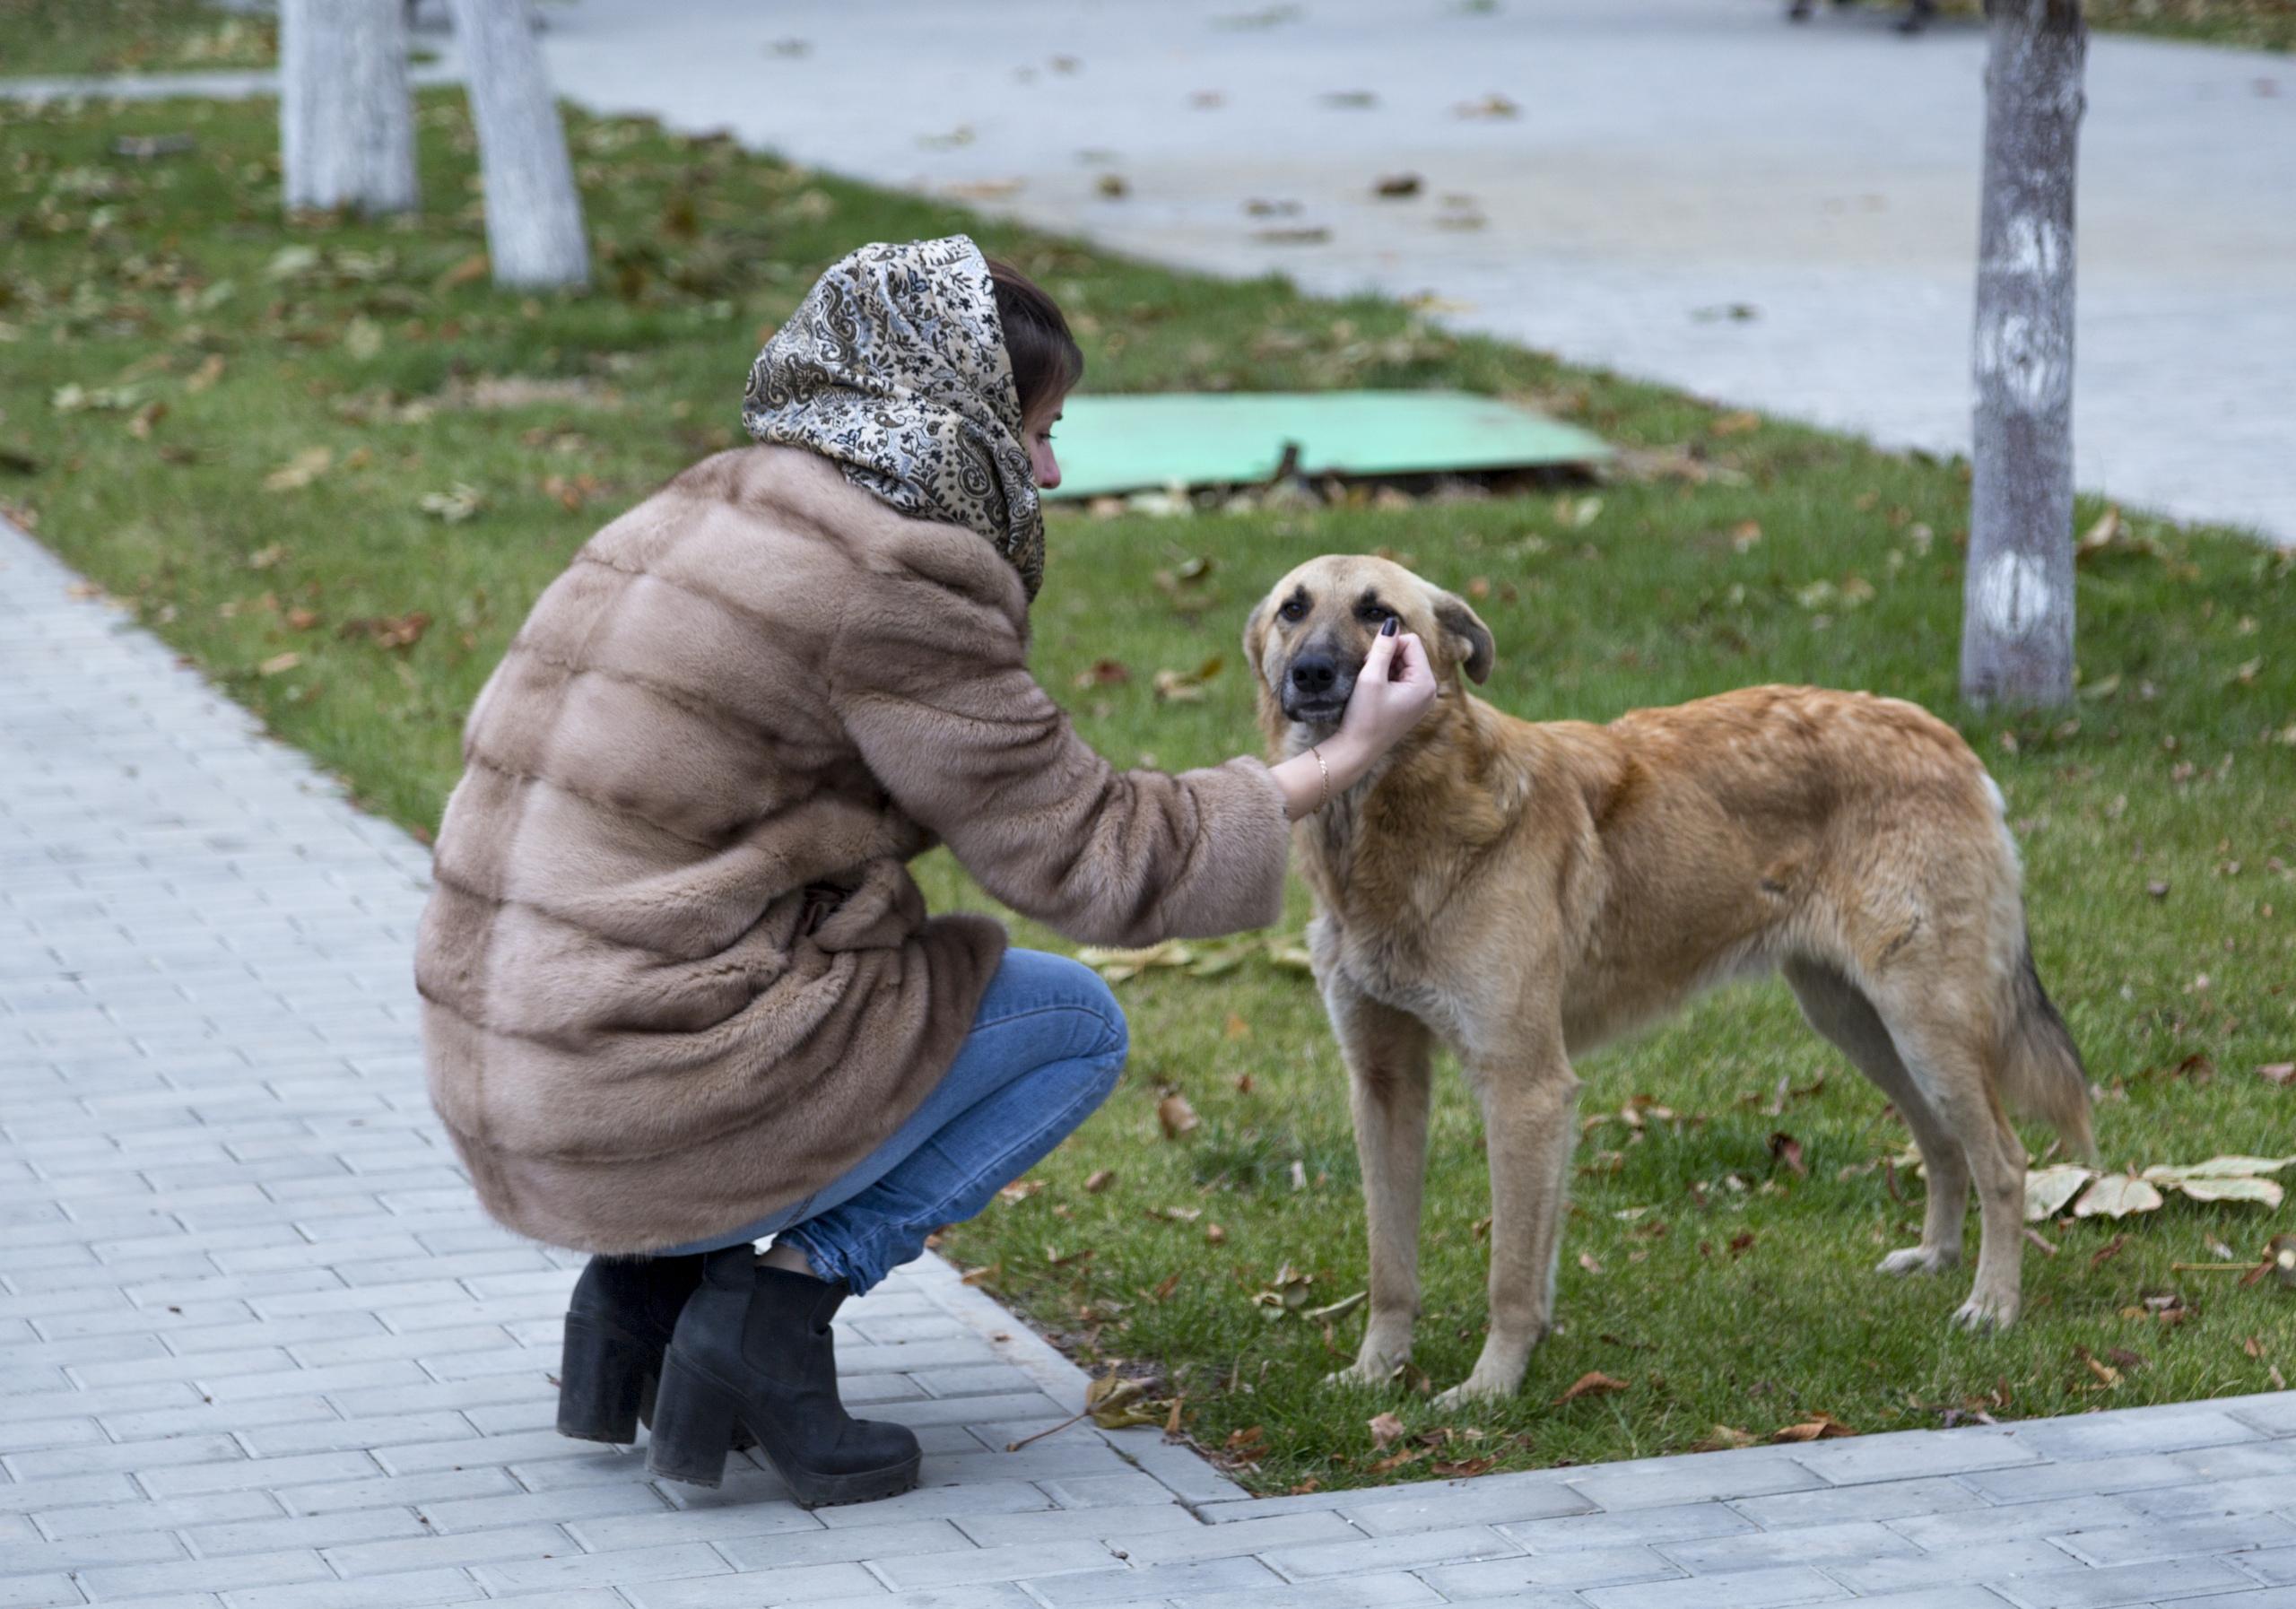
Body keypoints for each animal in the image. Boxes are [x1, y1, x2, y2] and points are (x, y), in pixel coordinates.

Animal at [1248, 555, 2093, 1405]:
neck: (1397, 826)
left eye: (1379, 615)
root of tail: (1940, 733)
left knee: (2005, 1163)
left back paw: (1992, 1304)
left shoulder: (1524, 1088)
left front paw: (1490, 1390)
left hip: (1925, 1024)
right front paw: (1378, 1371)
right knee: (1944, 1145)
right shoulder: (1385, 1083)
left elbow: (1510, 1275)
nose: (1311, 673)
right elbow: (1393, 1265)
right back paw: (1938, 1261)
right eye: (1293, 609)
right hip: (1860, 1024)